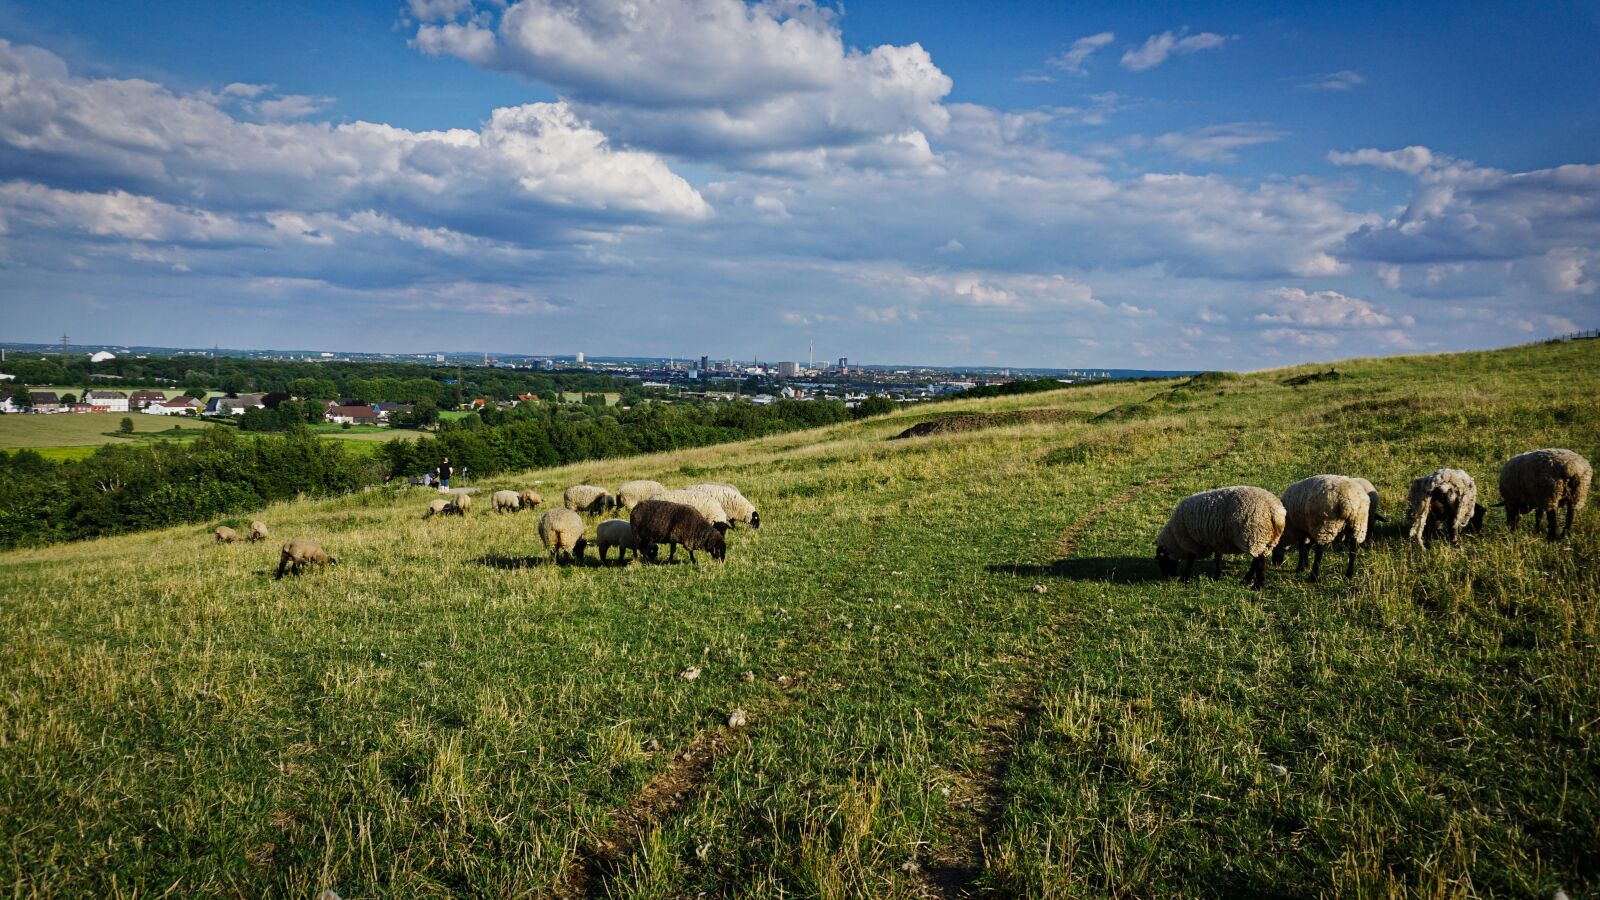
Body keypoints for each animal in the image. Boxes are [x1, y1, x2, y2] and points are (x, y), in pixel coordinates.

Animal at [1155, 486, 1287, 590]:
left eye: (1161, 559)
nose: (1167, 577)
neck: (1174, 538)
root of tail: (1275, 511)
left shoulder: (1192, 542)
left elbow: (1190, 560)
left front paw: (1184, 578)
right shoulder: (1216, 540)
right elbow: (1218, 557)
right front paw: (1217, 576)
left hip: (1254, 535)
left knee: (1259, 562)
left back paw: (1257, 585)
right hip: (1265, 540)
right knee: (1256, 561)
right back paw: (1246, 580)